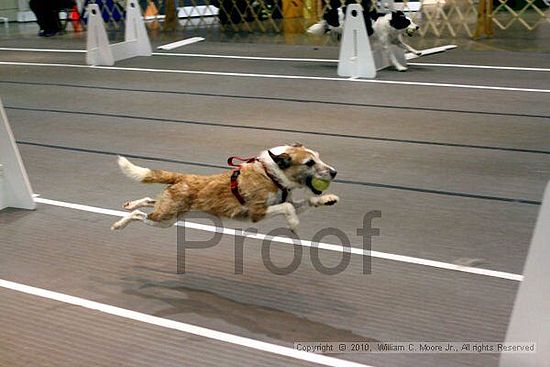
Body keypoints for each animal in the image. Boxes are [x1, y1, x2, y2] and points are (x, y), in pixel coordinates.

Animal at [110, 144, 338, 233]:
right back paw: (119, 224)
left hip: (169, 214)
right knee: (140, 214)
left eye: (318, 157)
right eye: (309, 163)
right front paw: (293, 223)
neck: (270, 174)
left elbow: (305, 201)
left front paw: (326, 199)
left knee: (149, 200)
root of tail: (183, 177)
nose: (335, 172)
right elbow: (288, 209)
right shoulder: (257, 212)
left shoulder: (288, 201)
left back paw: (130, 204)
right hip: (164, 219)